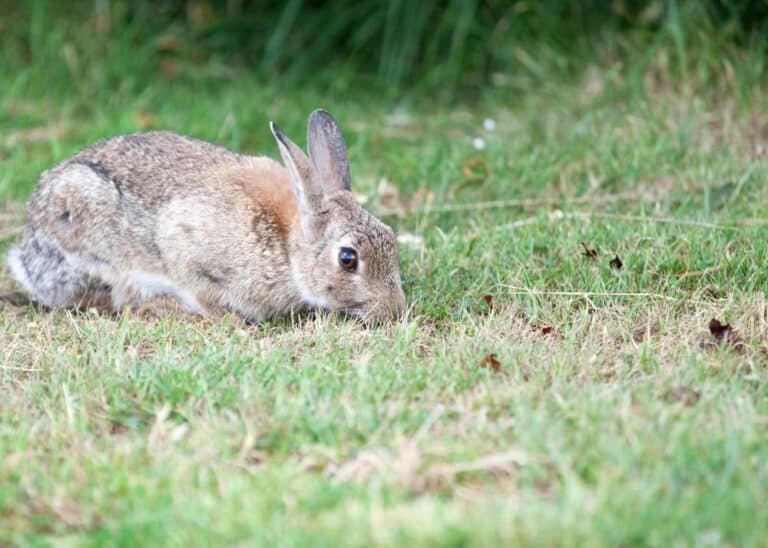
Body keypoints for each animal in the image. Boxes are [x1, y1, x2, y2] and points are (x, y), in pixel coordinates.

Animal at [6, 109, 406, 323]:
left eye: (390, 237)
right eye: (348, 259)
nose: (395, 310)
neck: (288, 247)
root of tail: (29, 250)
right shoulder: (184, 248)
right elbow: (201, 291)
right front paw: (230, 320)